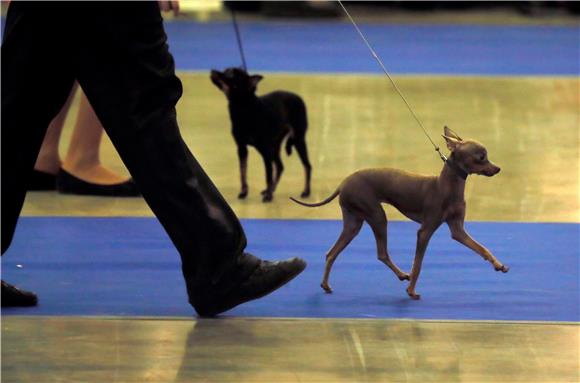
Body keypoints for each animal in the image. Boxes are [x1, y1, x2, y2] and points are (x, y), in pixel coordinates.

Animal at [211, 67, 312, 202]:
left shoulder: (265, 151)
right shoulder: (242, 149)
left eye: (230, 75)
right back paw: (271, 190)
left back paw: (305, 191)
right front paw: (244, 192)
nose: (213, 71)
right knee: (280, 166)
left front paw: (268, 196)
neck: (245, 108)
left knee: (307, 166)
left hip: (297, 139)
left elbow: (267, 176)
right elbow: (243, 172)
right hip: (274, 146)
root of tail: (298, 97)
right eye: (226, 70)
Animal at [292, 127, 510, 302]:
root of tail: (343, 182)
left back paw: (326, 285)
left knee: (332, 253)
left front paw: (498, 265)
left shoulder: (457, 230)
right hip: (377, 217)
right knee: (380, 253)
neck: (446, 186)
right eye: (481, 157)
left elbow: (482, 248)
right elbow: (418, 265)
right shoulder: (424, 232)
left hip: (354, 222)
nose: (498, 168)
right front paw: (411, 291)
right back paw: (402, 276)